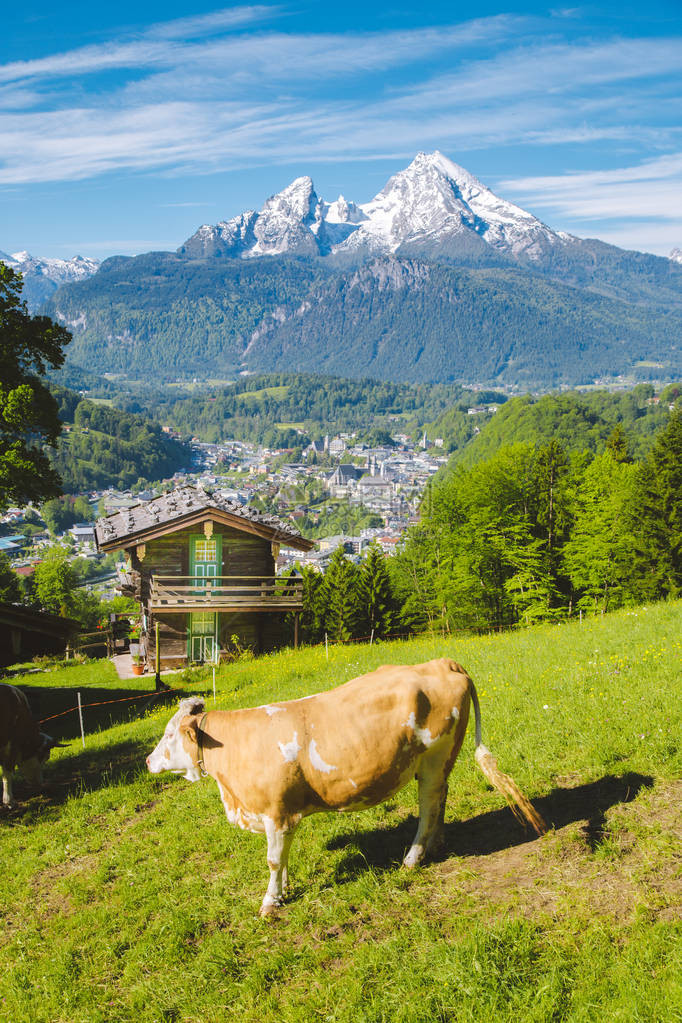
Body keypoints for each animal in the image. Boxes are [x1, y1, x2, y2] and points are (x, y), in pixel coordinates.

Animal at [147, 658, 548, 916]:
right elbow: (284, 858)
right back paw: (437, 844)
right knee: (441, 798)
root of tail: (443, 663)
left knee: (429, 805)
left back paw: (413, 858)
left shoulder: (277, 813)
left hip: (434, 758)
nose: (149, 761)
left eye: (169, 734)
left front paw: (270, 903)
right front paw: (284, 891)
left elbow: (274, 860)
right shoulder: (280, 817)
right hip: (436, 762)